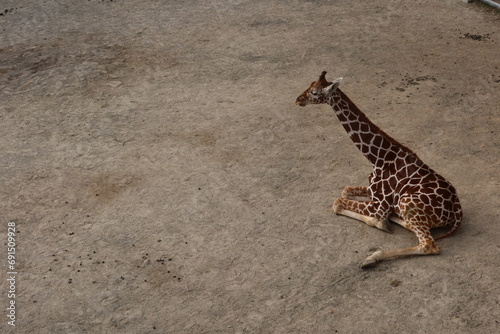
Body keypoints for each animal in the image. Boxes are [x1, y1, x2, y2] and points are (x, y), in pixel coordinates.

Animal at [294, 72, 462, 268]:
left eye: (314, 92)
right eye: (310, 84)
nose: (298, 100)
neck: (378, 158)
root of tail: (457, 211)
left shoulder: (379, 206)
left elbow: (337, 202)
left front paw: (378, 223)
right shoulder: (373, 193)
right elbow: (344, 191)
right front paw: (381, 222)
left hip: (407, 203)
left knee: (428, 245)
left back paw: (372, 257)